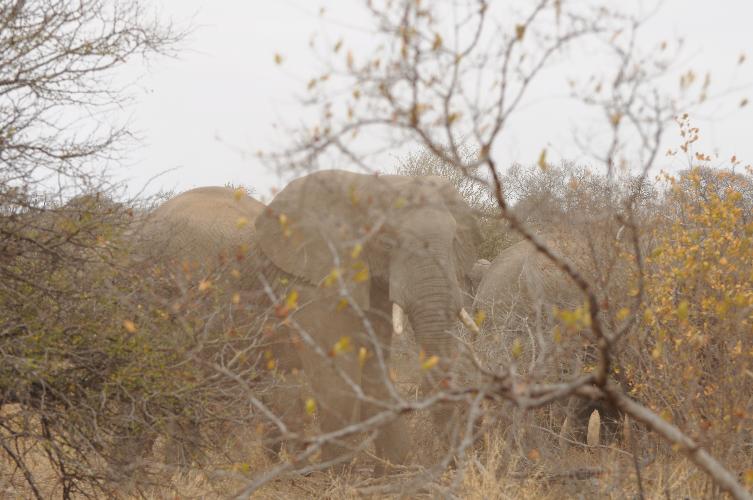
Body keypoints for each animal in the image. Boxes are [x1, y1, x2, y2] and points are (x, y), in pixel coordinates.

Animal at [251, 169, 481, 470]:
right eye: (387, 242)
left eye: (454, 241)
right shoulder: (311, 287)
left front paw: (394, 471)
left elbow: (375, 377)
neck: (361, 185)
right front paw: (334, 476)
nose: (453, 464)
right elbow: (339, 388)